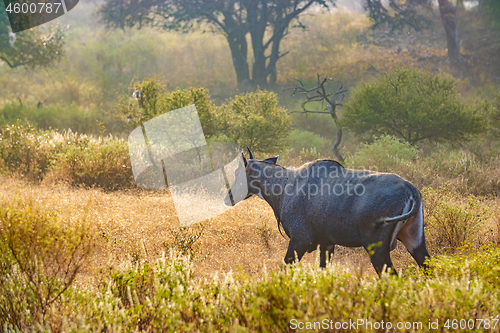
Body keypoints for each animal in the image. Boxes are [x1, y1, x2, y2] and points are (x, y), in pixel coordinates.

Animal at [224, 149, 430, 274]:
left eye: (237, 173)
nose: (228, 197)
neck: (285, 186)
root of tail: (411, 190)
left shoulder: (300, 240)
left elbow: (285, 269)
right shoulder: (327, 243)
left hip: (377, 248)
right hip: (415, 241)